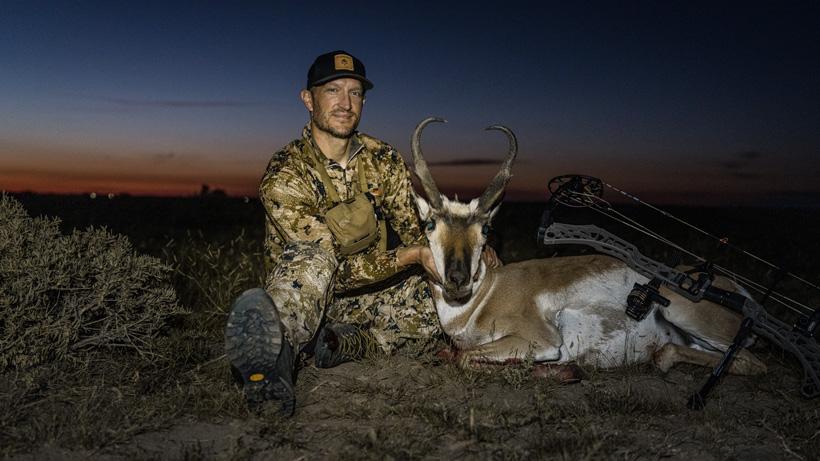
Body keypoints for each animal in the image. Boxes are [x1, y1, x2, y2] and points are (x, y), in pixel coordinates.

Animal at [411, 117, 767, 377]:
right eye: (430, 225)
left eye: (485, 229)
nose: (457, 278)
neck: (487, 294)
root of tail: (741, 294)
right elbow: (454, 353)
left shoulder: (541, 339)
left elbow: (463, 357)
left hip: (679, 309)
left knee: (753, 362)